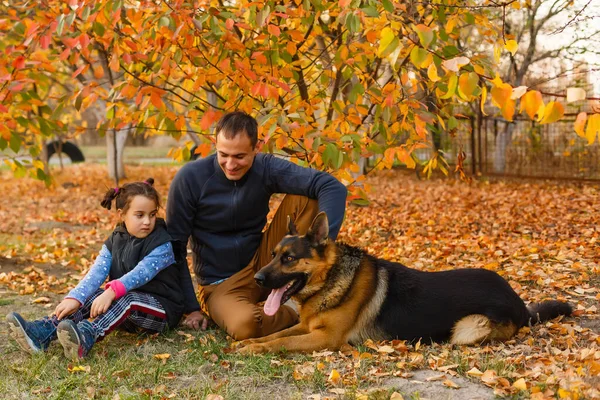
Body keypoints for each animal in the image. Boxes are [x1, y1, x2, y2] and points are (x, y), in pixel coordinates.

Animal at [236, 212, 572, 354]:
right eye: (273, 254)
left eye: (289, 258)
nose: (258, 278)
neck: (332, 280)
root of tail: (519, 302)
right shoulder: (306, 327)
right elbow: (277, 335)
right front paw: (248, 343)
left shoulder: (325, 338)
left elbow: (282, 342)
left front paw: (253, 349)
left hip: (467, 329)